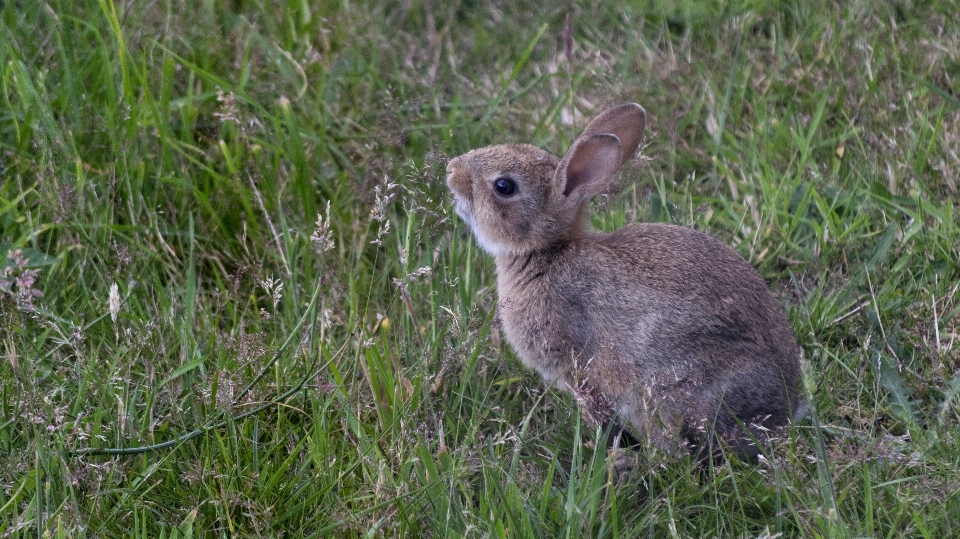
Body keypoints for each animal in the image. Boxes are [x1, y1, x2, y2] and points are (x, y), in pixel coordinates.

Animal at [446, 103, 808, 462]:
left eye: (503, 186)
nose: (450, 170)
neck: (547, 251)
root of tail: (782, 411)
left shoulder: (579, 369)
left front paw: (607, 452)